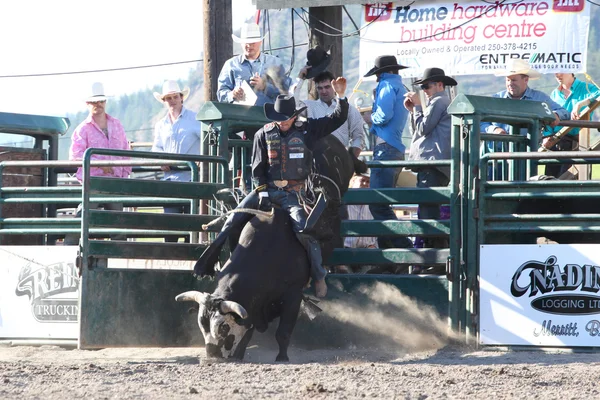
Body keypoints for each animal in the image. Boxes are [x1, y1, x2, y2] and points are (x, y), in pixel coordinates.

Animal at [176, 136, 368, 360]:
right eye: (202, 325)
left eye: (223, 327)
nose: (211, 354)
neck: (264, 256)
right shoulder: (254, 306)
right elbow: (248, 331)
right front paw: (240, 355)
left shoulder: (293, 295)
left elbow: (283, 332)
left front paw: (282, 357)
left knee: (351, 159)